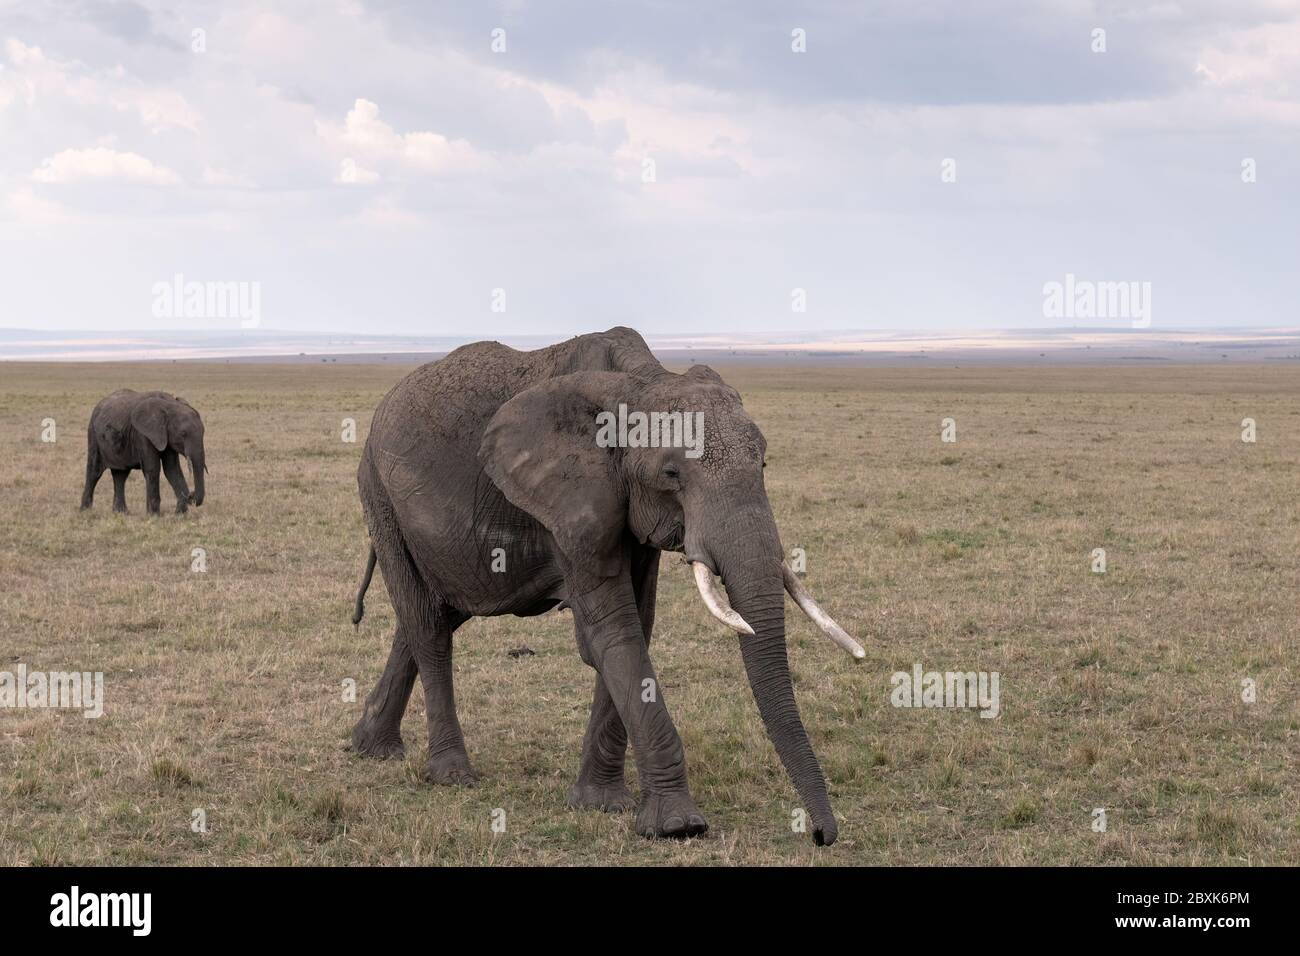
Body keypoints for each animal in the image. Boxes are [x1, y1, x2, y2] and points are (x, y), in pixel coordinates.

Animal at [349, 327, 862, 845]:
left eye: (763, 464)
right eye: (671, 474)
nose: (821, 835)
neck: (642, 381)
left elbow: (637, 625)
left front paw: (600, 804)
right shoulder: (572, 502)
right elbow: (613, 632)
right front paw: (678, 826)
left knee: (432, 615)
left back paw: (370, 746)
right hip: (380, 495)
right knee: (428, 625)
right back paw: (451, 775)